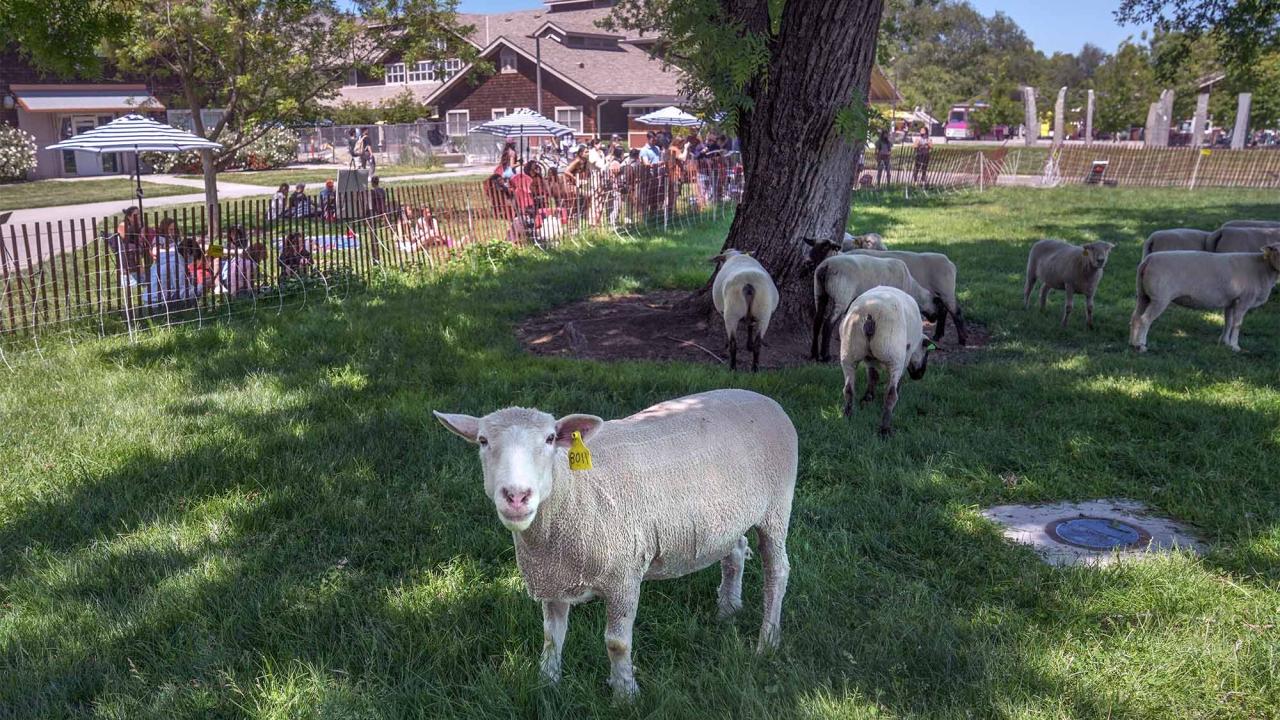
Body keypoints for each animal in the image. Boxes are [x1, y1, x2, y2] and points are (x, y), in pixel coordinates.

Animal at [435, 389, 793, 696]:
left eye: (550, 439)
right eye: (483, 441)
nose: (517, 496)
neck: (573, 489)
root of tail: (761, 397)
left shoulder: (624, 575)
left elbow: (616, 643)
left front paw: (625, 693)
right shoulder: (553, 576)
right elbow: (552, 635)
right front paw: (547, 682)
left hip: (777, 509)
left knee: (777, 572)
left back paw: (767, 641)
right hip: (727, 517)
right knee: (735, 550)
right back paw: (728, 608)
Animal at [834, 284, 936, 430]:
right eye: (927, 352)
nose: (919, 375)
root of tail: (869, 317)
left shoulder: (869, 359)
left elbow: (873, 376)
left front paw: (868, 398)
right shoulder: (906, 355)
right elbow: (899, 378)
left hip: (849, 352)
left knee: (848, 389)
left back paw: (847, 417)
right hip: (893, 355)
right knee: (891, 394)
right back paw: (885, 428)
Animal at [1131, 243, 1280, 351]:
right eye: (1277, 250)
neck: (1262, 269)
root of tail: (1148, 260)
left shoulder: (1231, 302)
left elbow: (1228, 322)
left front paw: (1225, 342)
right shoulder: (1243, 300)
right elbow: (1237, 324)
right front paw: (1235, 346)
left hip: (1143, 295)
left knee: (1135, 317)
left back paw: (1132, 343)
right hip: (1160, 298)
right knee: (1145, 320)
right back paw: (1141, 346)